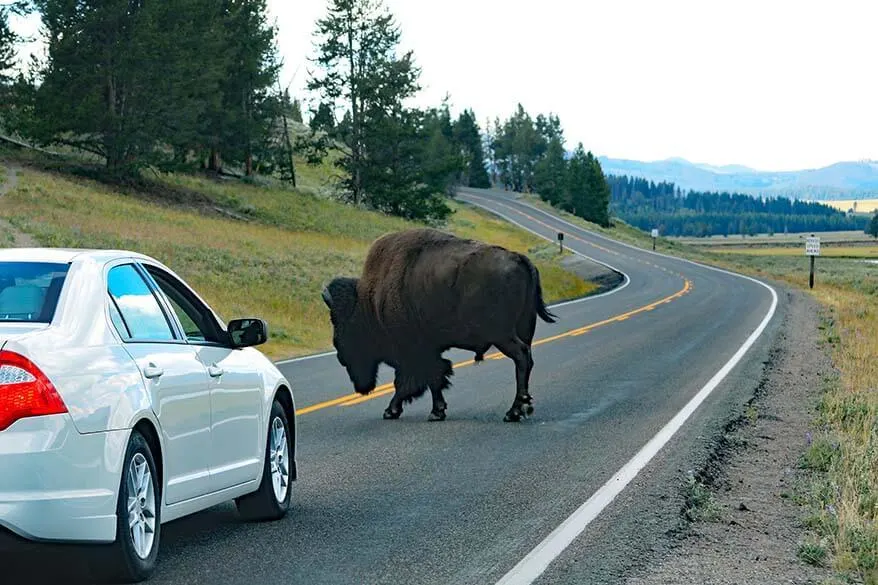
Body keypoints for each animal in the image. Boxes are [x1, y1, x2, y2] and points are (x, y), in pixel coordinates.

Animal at [322, 226, 556, 422]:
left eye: (341, 322)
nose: (339, 353)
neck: (370, 301)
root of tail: (520, 258)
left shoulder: (414, 351)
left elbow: (417, 379)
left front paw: (410, 411)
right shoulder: (426, 350)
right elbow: (429, 377)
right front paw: (432, 410)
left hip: (502, 335)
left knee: (521, 357)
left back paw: (514, 412)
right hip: (524, 328)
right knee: (526, 361)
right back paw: (522, 407)